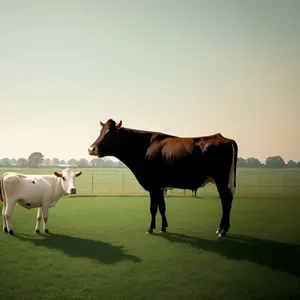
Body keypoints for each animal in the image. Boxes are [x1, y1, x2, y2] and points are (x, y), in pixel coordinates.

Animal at [88, 119, 238, 237]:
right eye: (100, 131)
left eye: (109, 132)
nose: (91, 149)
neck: (144, 149)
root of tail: (224, 138)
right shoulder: (160, 186)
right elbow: (162, 207)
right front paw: (163, 227)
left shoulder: (153, 186)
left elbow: (153, 208)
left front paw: (150, 228)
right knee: (228, 200)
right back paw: (222, 229)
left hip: (221, 179)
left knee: (226, 201)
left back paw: (222, 231)